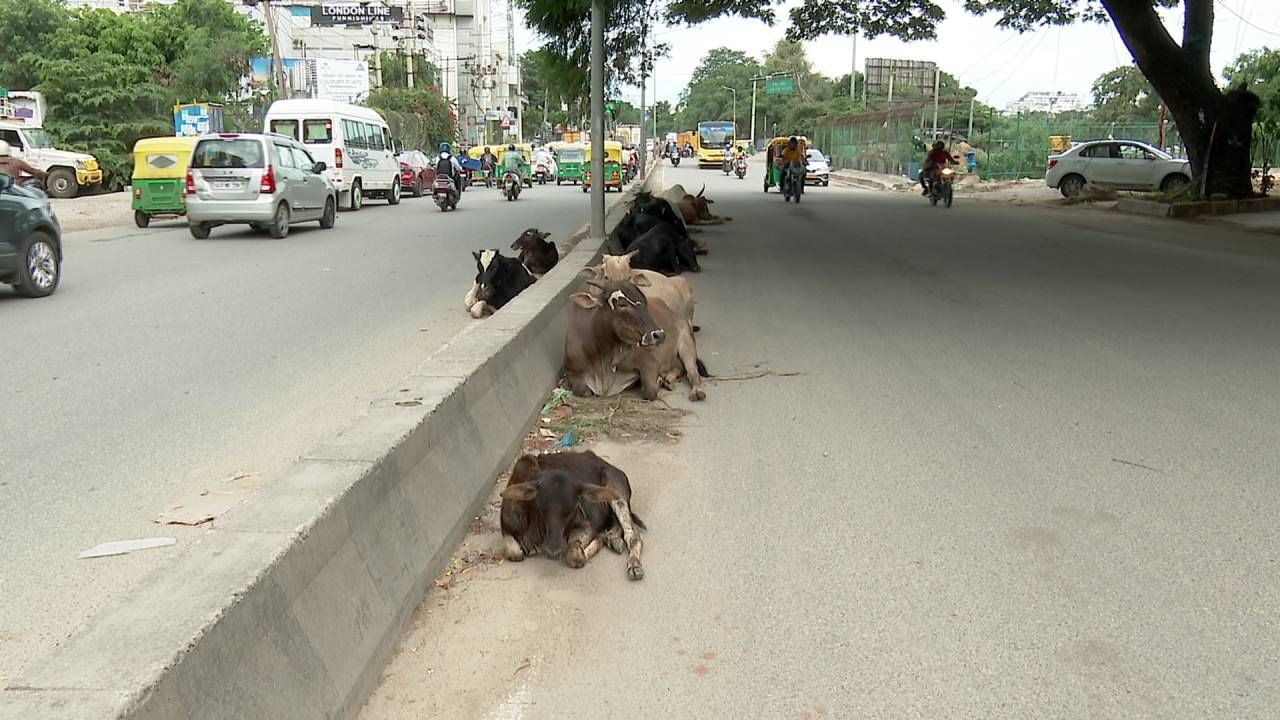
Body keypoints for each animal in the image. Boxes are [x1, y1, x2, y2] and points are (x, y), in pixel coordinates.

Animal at [496, 448, 645, 576]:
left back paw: (634, 565)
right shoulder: (507, 530)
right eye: (541, 507)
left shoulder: (586, 526)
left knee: (632, 534)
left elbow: (575, 556)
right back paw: (613, 539)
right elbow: (513, 552)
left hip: (618, 494)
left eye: (573, 509)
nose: (552, 551)